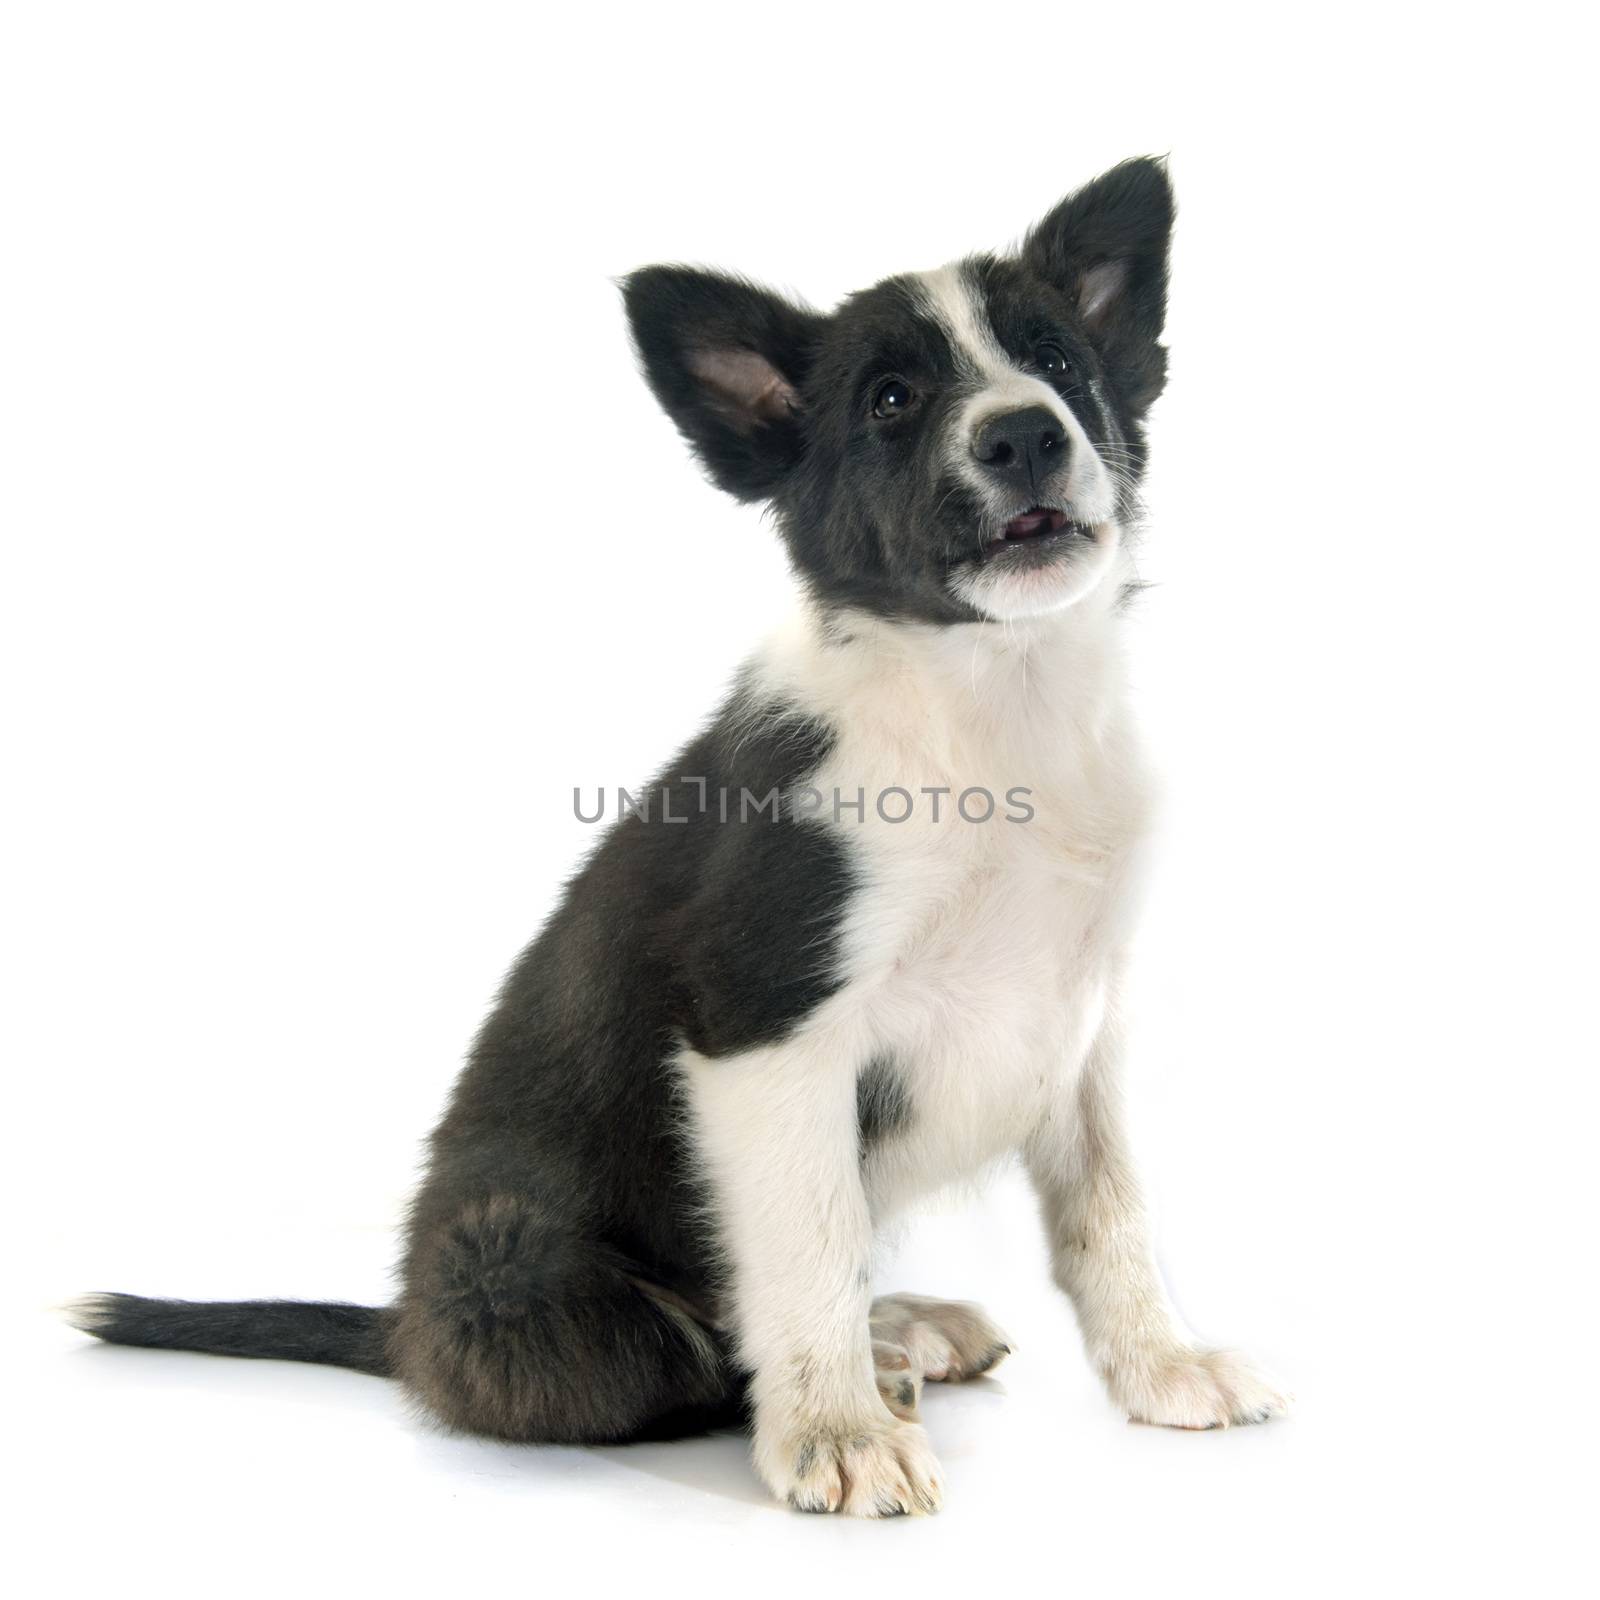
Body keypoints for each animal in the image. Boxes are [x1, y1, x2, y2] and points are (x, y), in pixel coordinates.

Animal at [75, 156, 1286, 1516]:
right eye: (890, 399)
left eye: (1060, 361)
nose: (1023, 432)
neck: (988, 707)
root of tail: (401, 1328)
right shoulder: (762, 1027)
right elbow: (807, 1239)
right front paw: (835, 1430)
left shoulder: (1083, 1021)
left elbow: (1109, 1213)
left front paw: (1163, 1363)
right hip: (521, 1282)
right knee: (680, 1351)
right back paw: (867, 1364)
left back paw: (898, 1328)